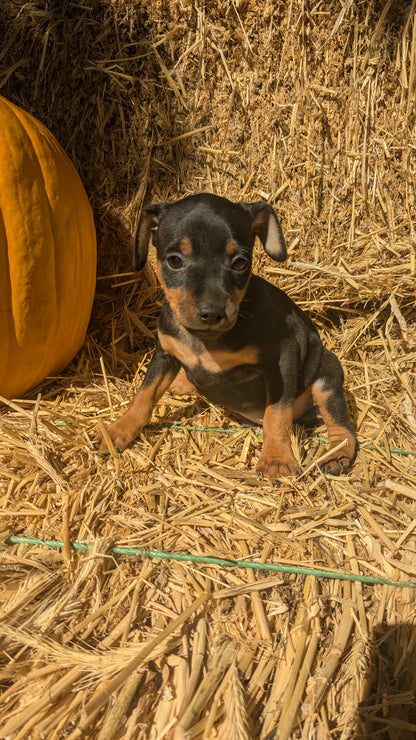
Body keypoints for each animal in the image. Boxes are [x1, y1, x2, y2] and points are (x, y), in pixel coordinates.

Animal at [96, 194, 356, 482]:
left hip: (328, 375)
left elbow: (276, 413)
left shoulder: (283, 358)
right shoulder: (165, 353)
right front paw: (118, 431)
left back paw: (337, 457)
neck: (204, 340)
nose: (212, 312)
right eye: (174, 261)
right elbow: (144, 395)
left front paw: (277, 458)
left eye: (240, 262)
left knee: (342, 427)